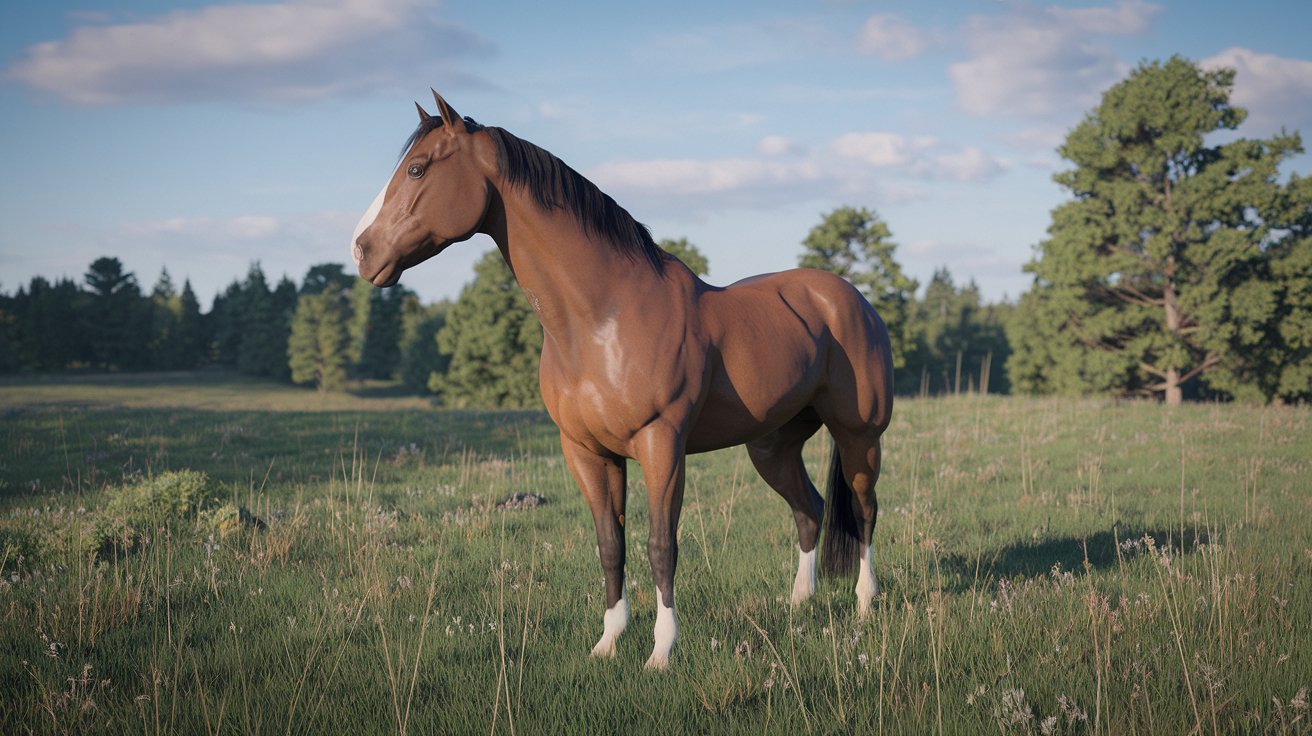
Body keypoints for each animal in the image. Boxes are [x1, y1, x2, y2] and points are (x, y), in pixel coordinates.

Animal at [351, 91, 894, 670]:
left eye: (416, 168)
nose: (362, 250)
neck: (602, 318)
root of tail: (848, 299)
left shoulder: (661, 445)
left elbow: (661, 545)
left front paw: (661, 651)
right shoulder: (587, 452)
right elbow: (610, 544)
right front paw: (608, 642)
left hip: (859, 437)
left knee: (864, 511)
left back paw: (865, 605)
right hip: (772, 446)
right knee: (809, 511)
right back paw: (798, 604)